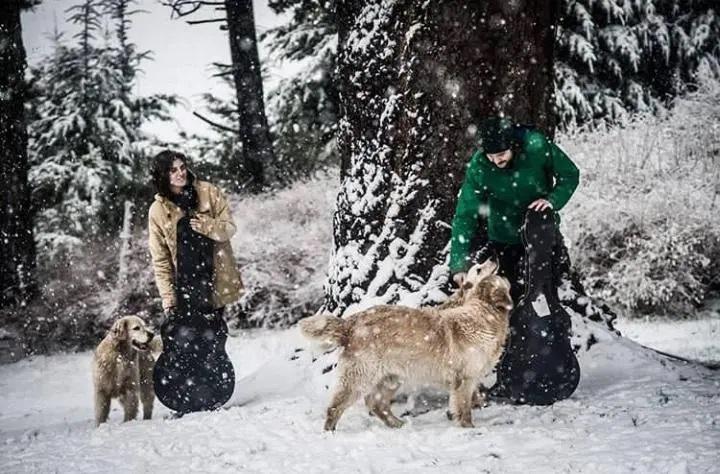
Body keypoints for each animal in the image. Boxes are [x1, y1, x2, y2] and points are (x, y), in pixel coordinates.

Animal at [300, 260, 516, 430]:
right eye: (479, 269)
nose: (494, 257)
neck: (482, 313)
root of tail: (351, 322)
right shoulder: (465, 378)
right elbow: (464, 407)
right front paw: (467, 427)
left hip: (391, 378)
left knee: (376, 403)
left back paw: (397, 424)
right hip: (359, 377)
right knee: (336, 406)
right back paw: (330, 432)